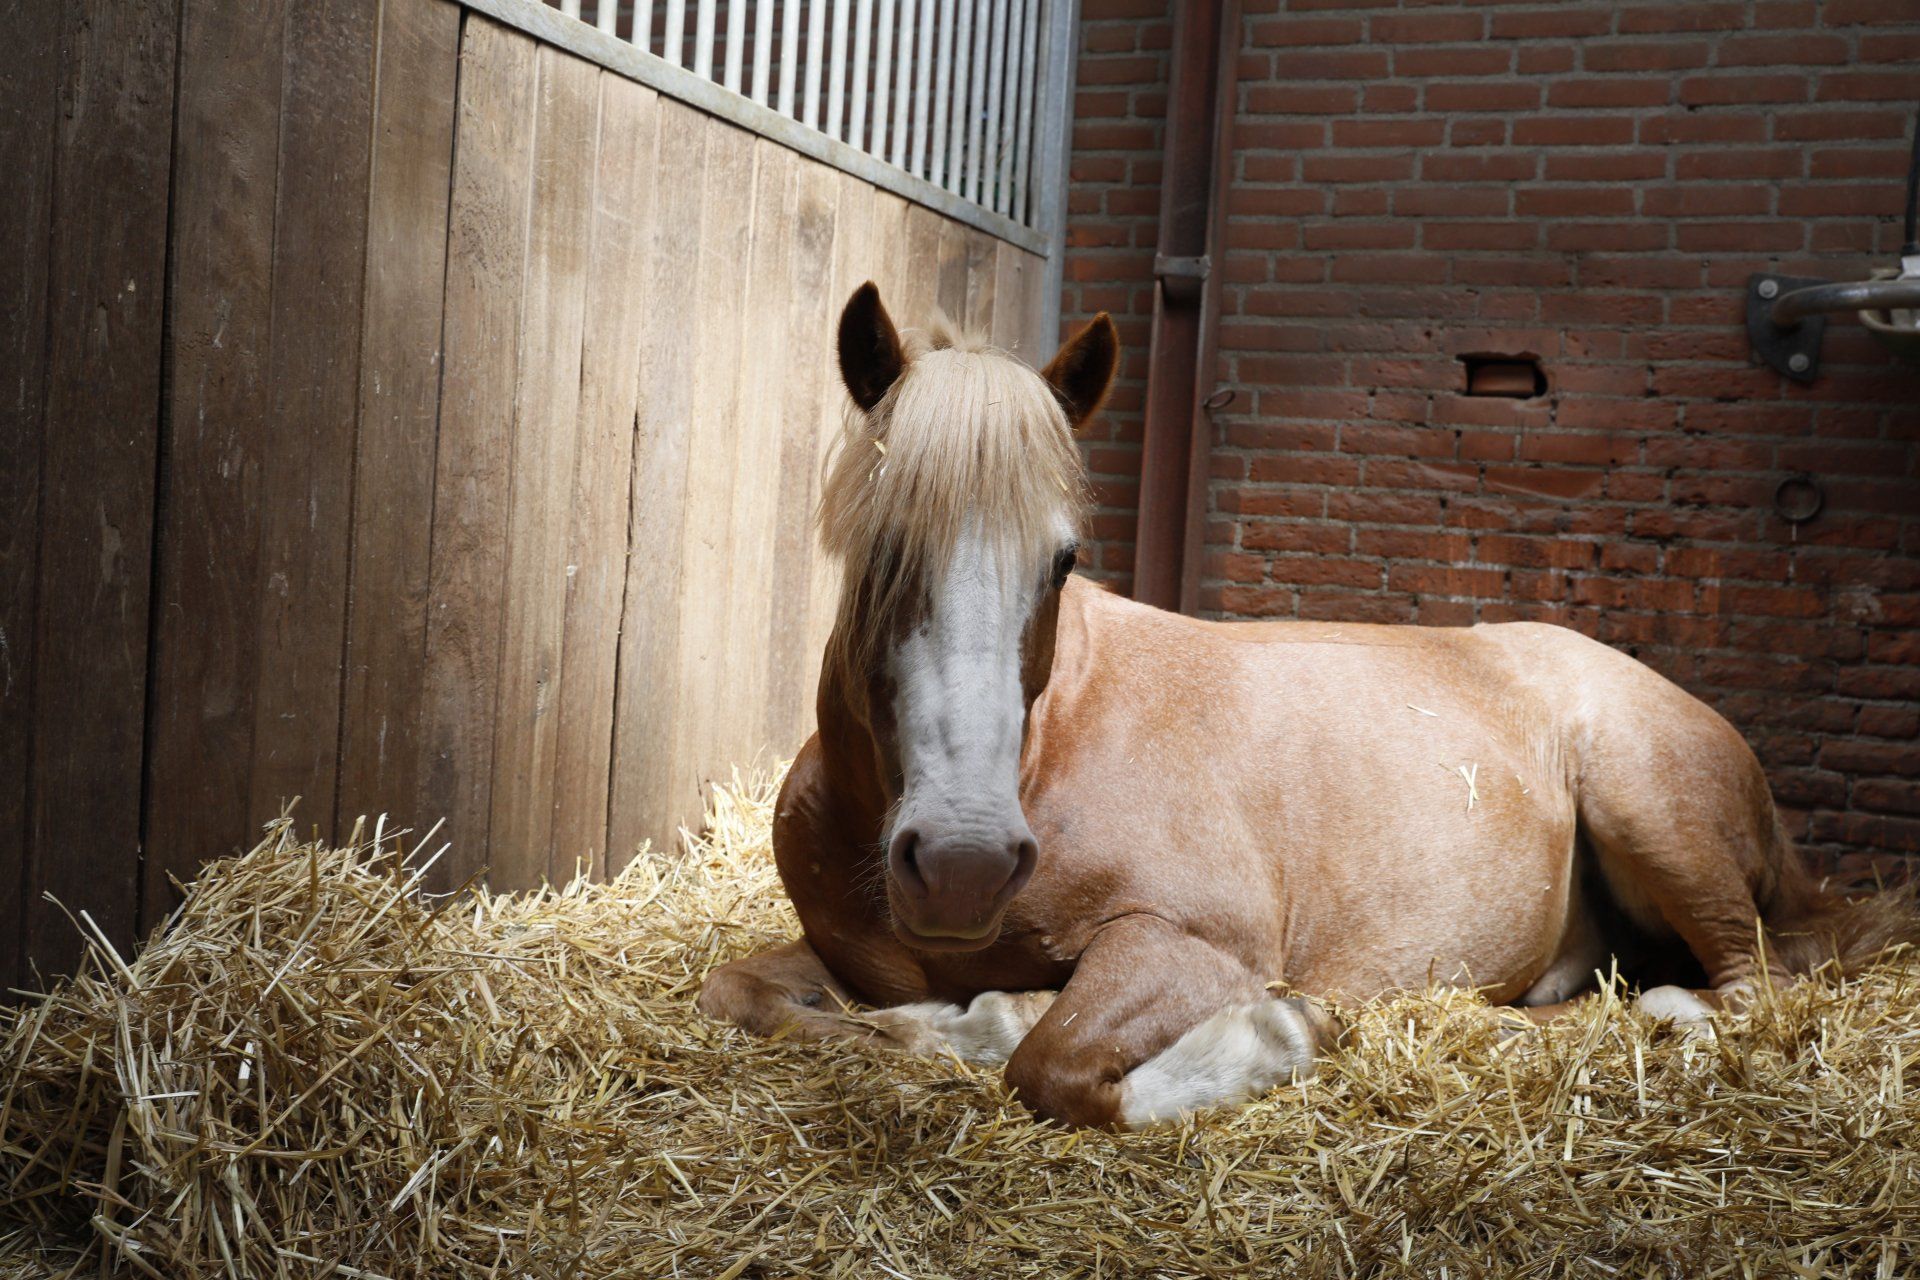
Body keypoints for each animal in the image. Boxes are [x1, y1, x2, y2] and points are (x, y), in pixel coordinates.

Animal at [697, 282, 1918, 1129]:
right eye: (878, 547)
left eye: (1063, 559)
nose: (961, 861)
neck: (1053, 747)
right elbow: (744, 996)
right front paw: (976, 1014)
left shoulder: (1199, 944)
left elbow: (1059, 1067)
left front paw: (1270, 1035)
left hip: (1650, 812)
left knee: (1740, 988)